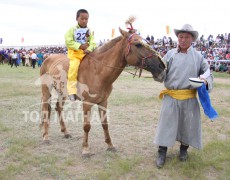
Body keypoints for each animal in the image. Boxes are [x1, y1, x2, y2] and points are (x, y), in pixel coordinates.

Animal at [39, 27, 165, 156]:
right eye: (138, 44)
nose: (161, 66)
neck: (97, 71)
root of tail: (48, 58)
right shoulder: (87, 103)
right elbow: (87, 126)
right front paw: (85, 149)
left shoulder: (103, 101)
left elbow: (105, 124)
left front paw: (110, 145)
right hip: (46, 91)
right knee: (45, 109)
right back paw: (46, 137)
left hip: (62, 93)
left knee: (58, 108)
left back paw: (65, 132)